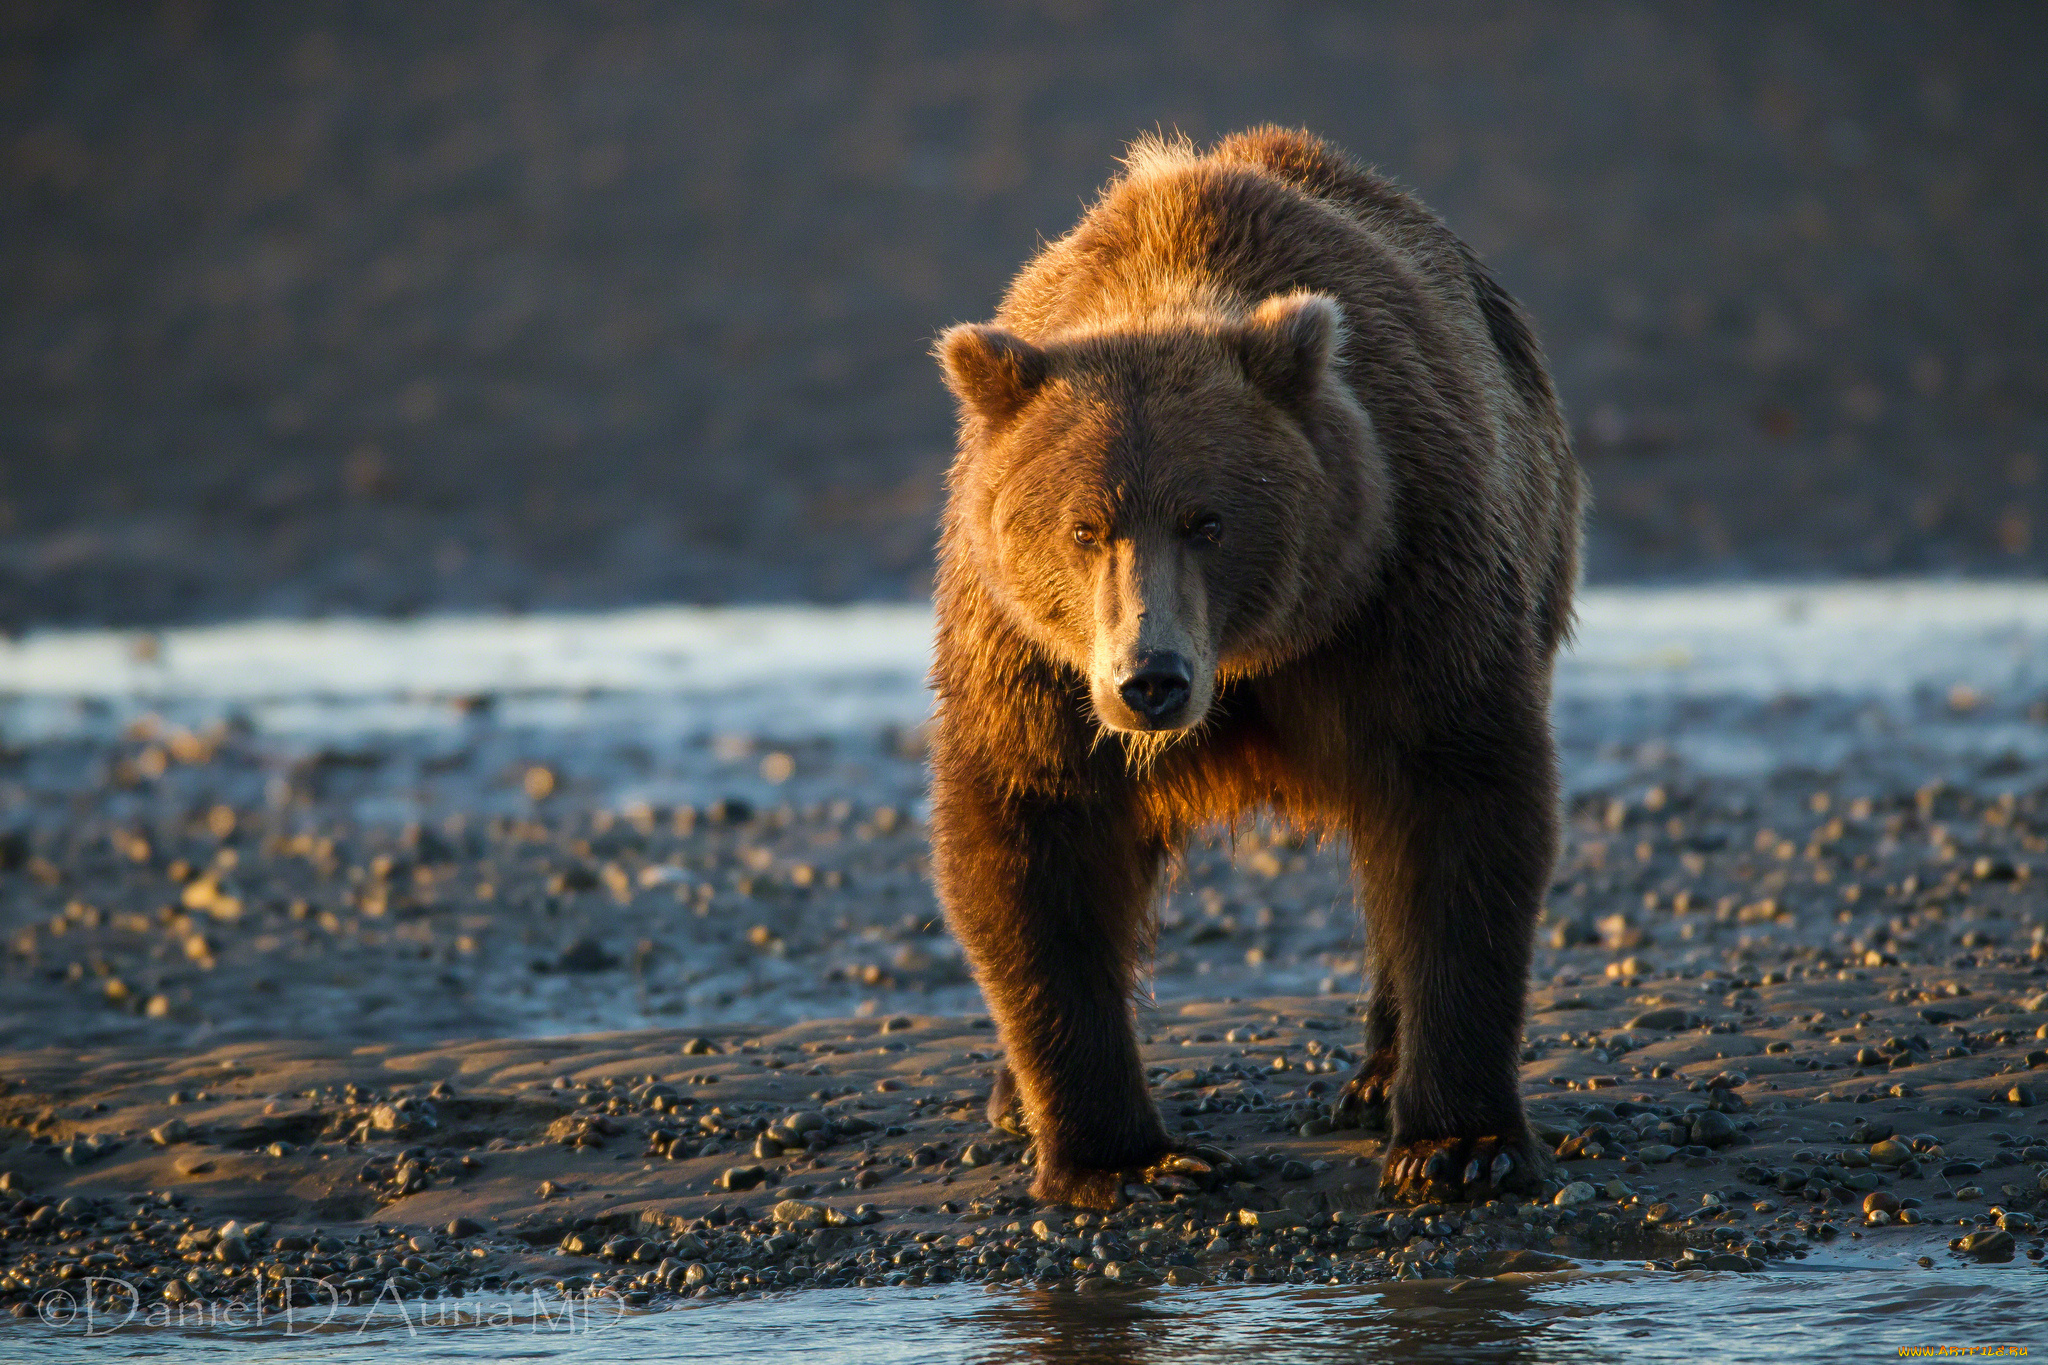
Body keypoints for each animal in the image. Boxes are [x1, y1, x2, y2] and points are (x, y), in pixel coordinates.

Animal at [929, 127, 1581, 1203]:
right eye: (1082, 527)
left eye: (1208, 521)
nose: (1150, 678)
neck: (1252, 659)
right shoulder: (1029, 656)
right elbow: (1032, 832)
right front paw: (1122, 1158)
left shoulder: (1404, 579)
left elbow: (1458, 802)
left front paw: (1459, 1144)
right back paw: (1006, 1094)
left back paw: (1378, 1075)